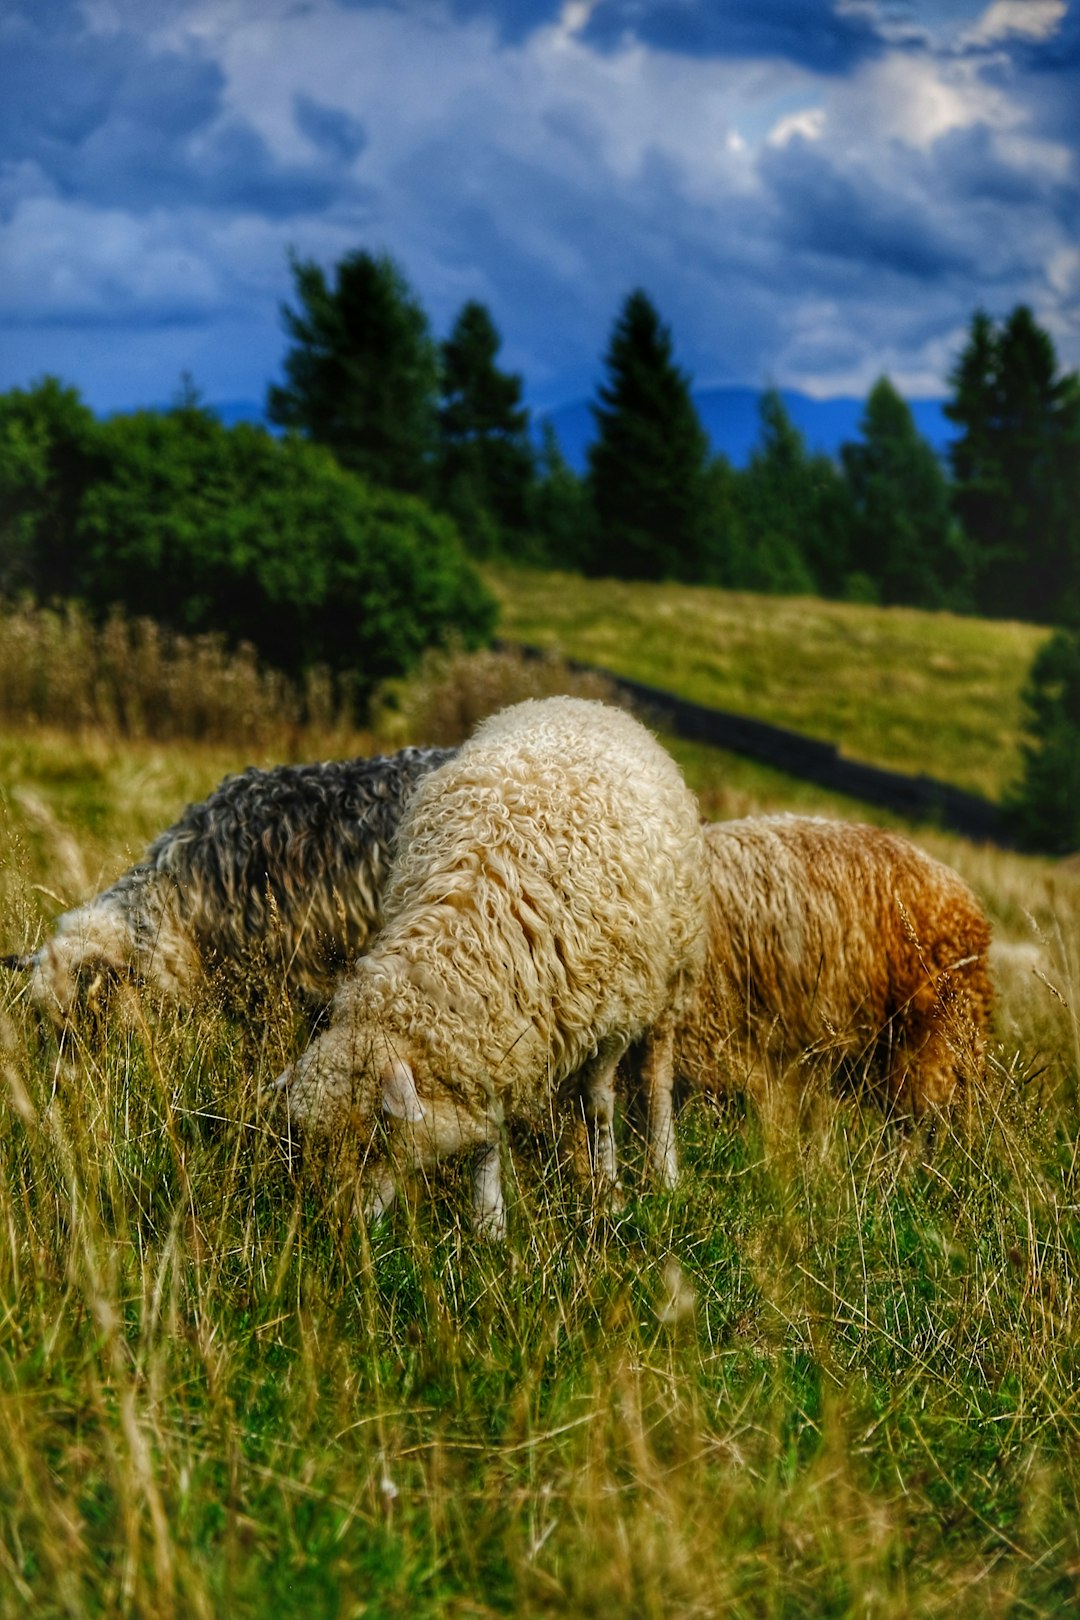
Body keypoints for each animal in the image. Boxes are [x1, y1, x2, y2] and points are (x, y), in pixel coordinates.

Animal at [275, 690, 709, 1231]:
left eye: (376, 1135)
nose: (340, 1228)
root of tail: (581, 702)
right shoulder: (495, 1033)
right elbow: (488, 1127)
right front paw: (489, 1220)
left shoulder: (611, 1016)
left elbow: (600, 1104)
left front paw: (608, 1193)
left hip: (671, 978)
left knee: (656, 1080)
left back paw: (663, 1168)